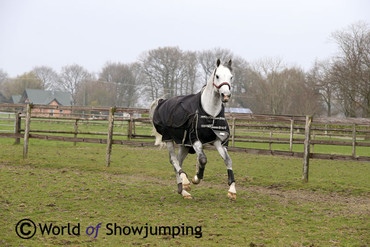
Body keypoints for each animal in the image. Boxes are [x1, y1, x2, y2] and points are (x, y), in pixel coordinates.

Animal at [149, 59, 236, 201]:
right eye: (217, 76)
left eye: (231, 77)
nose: (226, 96)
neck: (209, 113)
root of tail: (162, 101)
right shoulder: (195, 139)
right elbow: (203, 159)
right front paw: (196, 178)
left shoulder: (218, 140)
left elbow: (228, 160)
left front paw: (232, 191)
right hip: (168, 139)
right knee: (174, 160)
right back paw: (185, 182)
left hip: (184, 145)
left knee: (178, 162)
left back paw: (183, 191)